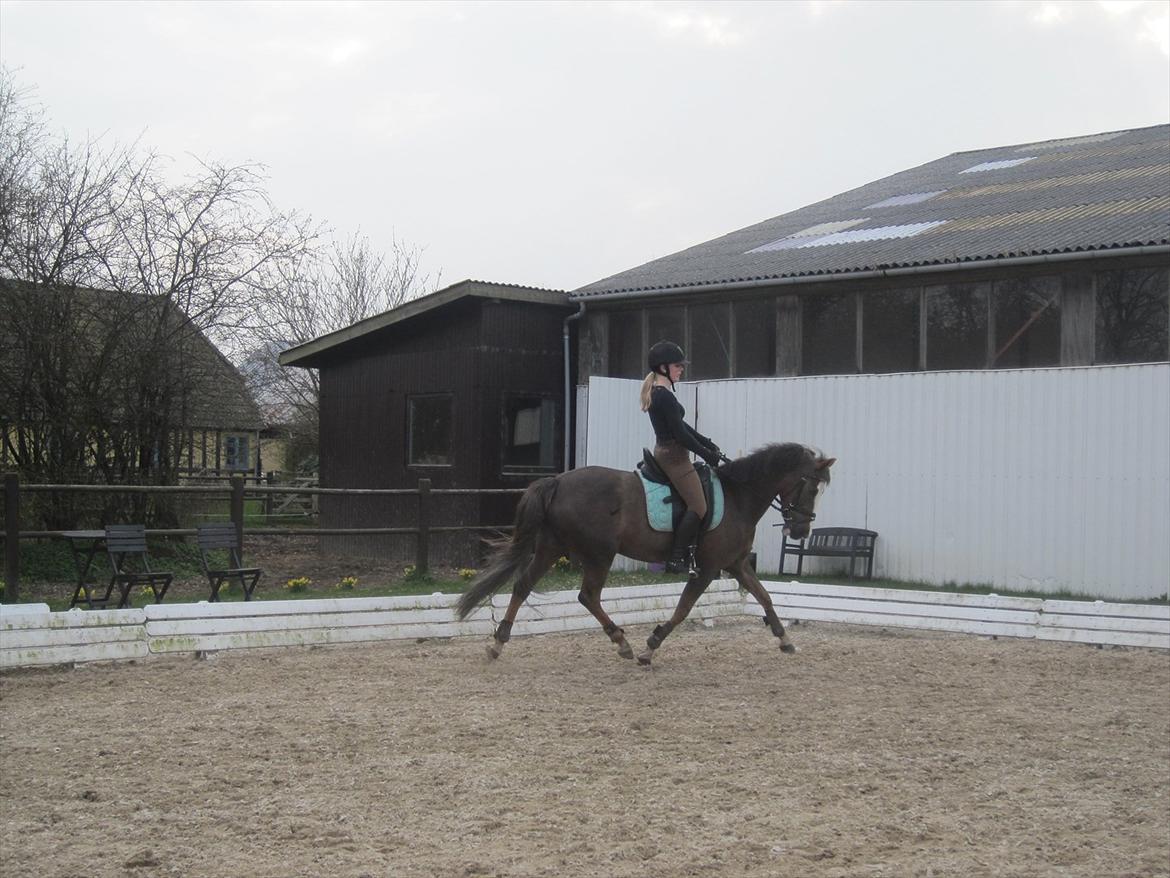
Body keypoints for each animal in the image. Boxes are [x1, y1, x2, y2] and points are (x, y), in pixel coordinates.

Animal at [455, 443, 835, 664]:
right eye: (810, 486)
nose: (800, 532)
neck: (738, 495)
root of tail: (558, 481)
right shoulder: (708, 568)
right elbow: (683, 609)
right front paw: (650, 646)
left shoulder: (737, 564)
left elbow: (765, 596)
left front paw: (785, 639)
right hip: (599, 553)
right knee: (587, 595)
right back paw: (622, 642)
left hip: (552, 547)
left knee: (523, 587)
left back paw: (498, 643)